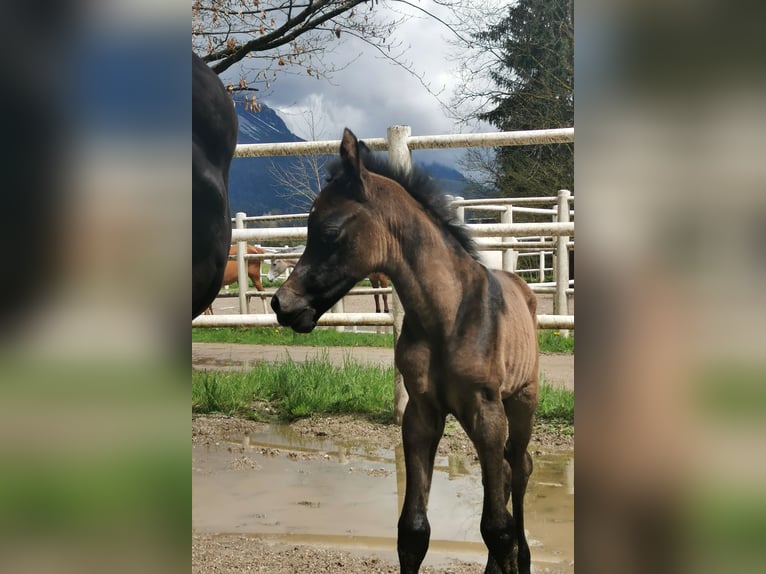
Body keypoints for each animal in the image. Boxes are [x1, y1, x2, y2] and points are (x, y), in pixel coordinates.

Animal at [272, 130, 540, 574]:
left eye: (329, 230)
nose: (283, 304)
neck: (446, 316)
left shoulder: (486, 411)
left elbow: (497, 529)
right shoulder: (421, 413)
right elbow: (413, 530)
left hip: (520, 403)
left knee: (518, 470)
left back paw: (525, 557)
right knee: (501, 472)